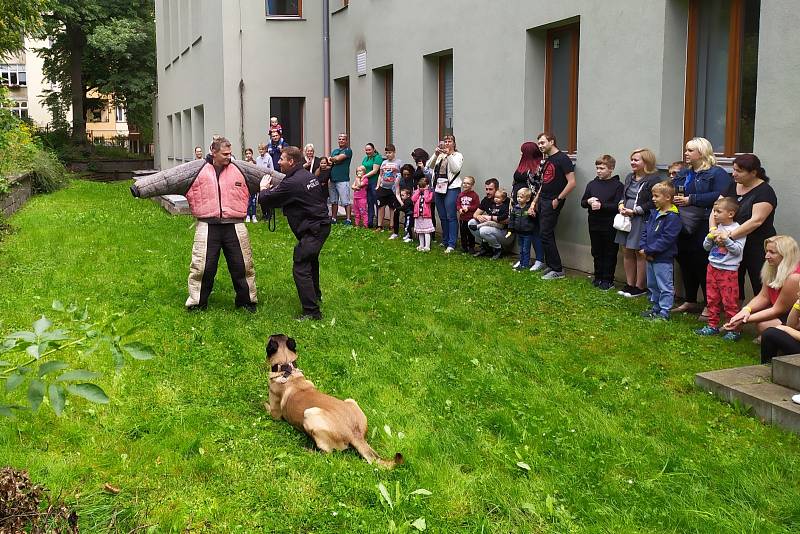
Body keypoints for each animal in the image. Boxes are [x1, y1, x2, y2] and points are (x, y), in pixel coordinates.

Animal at [266, 336, 404, 468]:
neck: (287, 369)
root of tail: (355, 434)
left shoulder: (275, 413)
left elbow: (266, 406)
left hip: (310, 414)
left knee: (327, 452)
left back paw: (308, 450)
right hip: (350, 400)